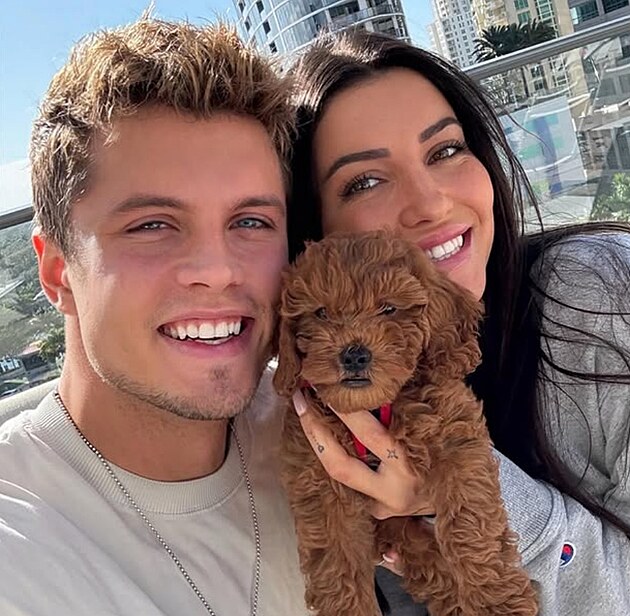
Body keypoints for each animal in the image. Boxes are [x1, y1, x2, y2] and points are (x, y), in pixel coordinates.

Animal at [273, 231, 538, 616]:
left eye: (388, 309)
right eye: (320, 313)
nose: (354, 354)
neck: (373, 407)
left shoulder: (455, 441)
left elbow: (471, 523)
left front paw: (496, 602)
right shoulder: (320, 487)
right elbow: (339, 566)